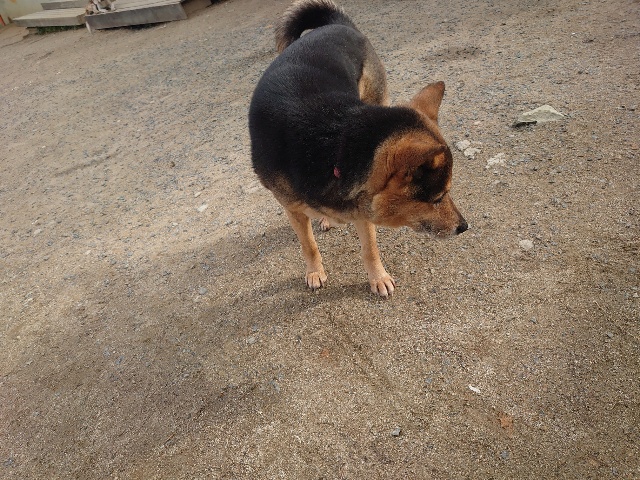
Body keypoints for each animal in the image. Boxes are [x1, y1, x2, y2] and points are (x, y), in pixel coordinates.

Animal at [249, 0, 467, 296]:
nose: (464, 226)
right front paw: (314, 271)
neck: (334, 146)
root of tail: (335, 24)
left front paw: (378, 277)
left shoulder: (360, 207)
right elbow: (308, 245)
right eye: (438, 198)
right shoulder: (293, 209)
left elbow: (370, 249)